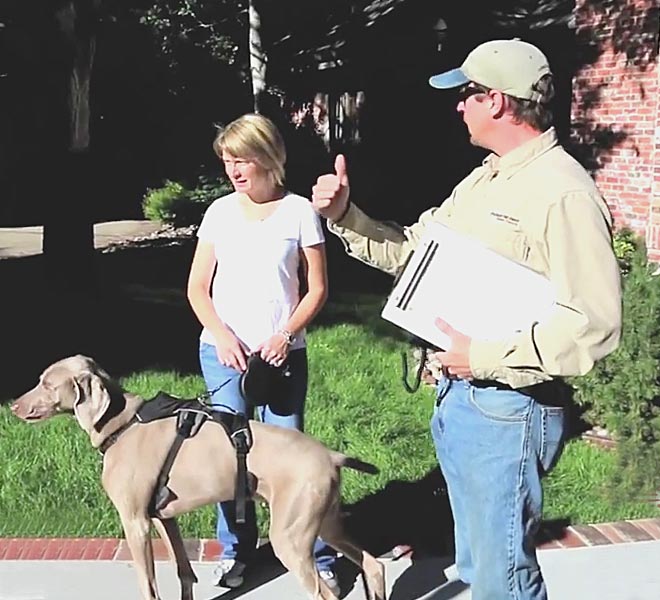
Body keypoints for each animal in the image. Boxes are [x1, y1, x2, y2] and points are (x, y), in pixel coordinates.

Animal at [11, 355, 386, 600]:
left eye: (47, 384)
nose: (13, 405)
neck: (122, 423)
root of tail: (330, 455)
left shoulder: (135, 521)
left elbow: (148, 585)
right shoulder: (163, 517)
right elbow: (183, 571)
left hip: (290, 536)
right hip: (324, 521)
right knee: (373, 565)